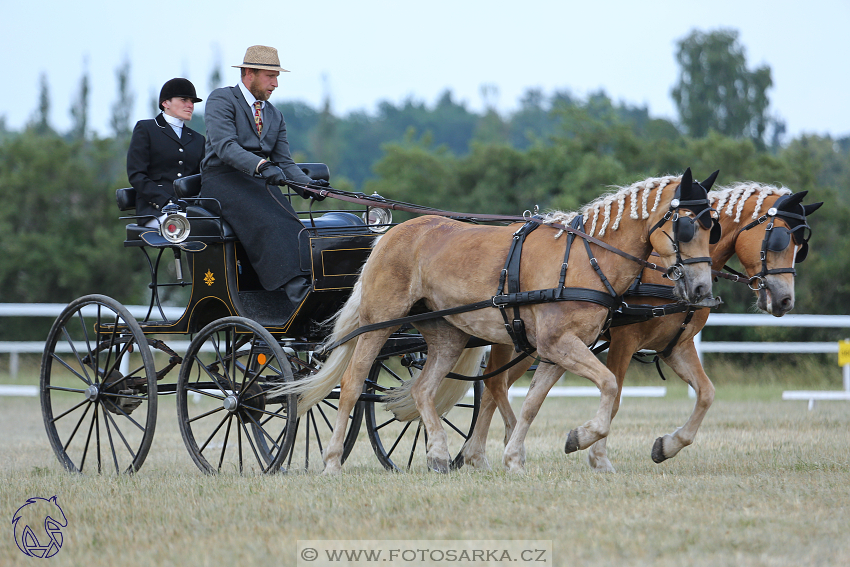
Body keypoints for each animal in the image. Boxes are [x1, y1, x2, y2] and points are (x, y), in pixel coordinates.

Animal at [278, 170, 716, 474]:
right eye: (686, 226)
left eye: (714, 228)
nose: (700, 288)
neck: (584, 259)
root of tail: (390, 234)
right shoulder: (560, 344)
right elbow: (609, 385)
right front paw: (581, 438)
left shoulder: (555, 351)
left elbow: (532, 404)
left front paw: (514, 458)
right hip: (379, 322)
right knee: (352, 385)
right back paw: (332, 461)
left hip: (448, 337)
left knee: (423, 390)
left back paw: (439, 454)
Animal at [460, 182, 820, 470]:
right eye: (778, 240)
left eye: (800, 247)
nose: (785, 300)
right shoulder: (625, 339)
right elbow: (616, 397)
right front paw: (597, 455)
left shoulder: (676, 345)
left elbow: (706, 393)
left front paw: (667, 446)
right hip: (514, 340)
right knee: (494, 386)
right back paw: (489, 448)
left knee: (492, 389)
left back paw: (476, 456)